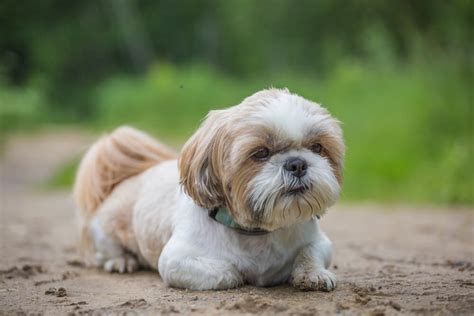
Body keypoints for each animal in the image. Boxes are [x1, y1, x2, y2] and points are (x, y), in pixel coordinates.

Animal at [73, 87, 344, 290]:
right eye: (260, 153)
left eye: (317, 147)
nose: (297, 164)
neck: (256, 232)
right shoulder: (176, 260)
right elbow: (228, 271)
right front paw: (241, 273)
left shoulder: (319, 241)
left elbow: (310, 253)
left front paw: (314, 274)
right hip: (105, 231)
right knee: (107, 252)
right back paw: (122, 261)